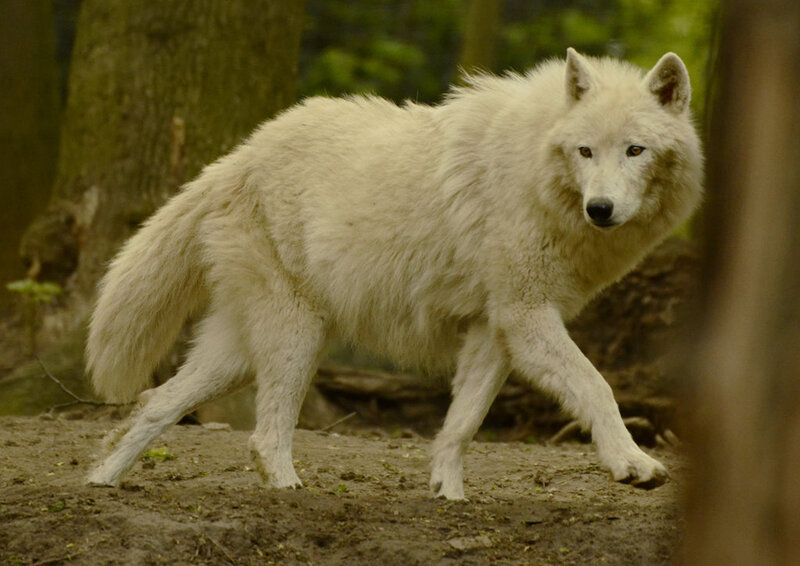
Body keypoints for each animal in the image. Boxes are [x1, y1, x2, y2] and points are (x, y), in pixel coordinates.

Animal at [86, 48, 702, 499]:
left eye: (635, 150)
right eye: (585, 151)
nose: (600, 208)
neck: (534, 172)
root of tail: (235, 158)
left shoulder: (496, 329)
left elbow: (461, 423)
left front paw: (448, 495)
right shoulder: (526, 315)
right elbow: (598, 386)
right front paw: (633, 464)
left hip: (240, 355)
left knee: (155, 403)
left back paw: (100, 480)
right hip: (297, 339)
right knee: (263, 436)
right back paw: (290, 492)